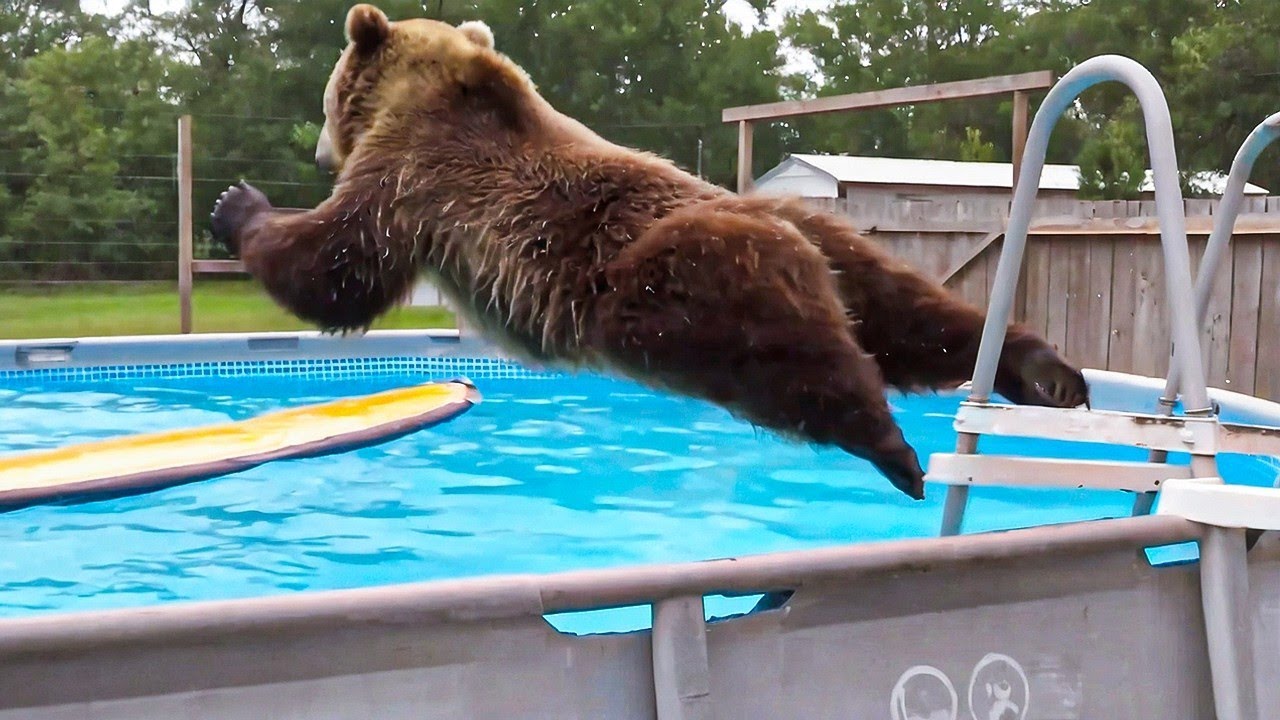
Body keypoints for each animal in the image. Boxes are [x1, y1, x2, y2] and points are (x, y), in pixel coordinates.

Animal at [210, 3, 1088, 500]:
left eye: (330, 94)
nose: (318, 148)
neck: (434, 89)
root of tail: (793, 236)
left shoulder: (412, 177)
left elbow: (335, 266)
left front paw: (237, 208)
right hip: (841, 250)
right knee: (915, 316)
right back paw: (1041, 369)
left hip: (677, 284)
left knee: (794, 363)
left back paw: (894, 451)